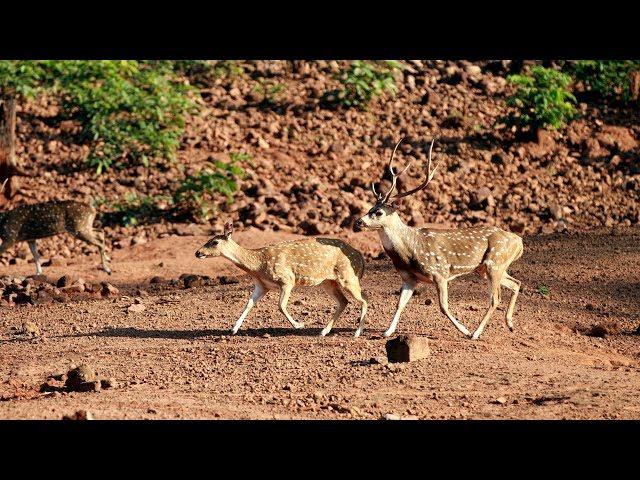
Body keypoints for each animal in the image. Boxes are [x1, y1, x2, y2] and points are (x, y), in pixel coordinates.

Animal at [195, 222, 368, 338]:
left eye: (215, 242)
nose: (197, 252)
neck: (258, 266)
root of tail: (360, 256)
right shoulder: (262, 286)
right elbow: (248, 304)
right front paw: (233, 329)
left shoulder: (287, 279)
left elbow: (280, 306)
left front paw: (299, 325)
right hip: (328, 282)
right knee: (344, 301)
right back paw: (324, 331)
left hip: (348, 276)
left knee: (364, 298)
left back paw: (357, 332)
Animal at [356, 139, 524, 342]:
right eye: (370, 208)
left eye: (379, 212)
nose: (358, 221)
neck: (409, 252)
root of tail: (519, 241)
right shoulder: (410, 278)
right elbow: (399, 304)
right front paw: (387, 331)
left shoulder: (440, 273)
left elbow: (443, 307)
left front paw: (464, 330)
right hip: (486, 268)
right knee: (516, 283)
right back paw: (510, 324)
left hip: (495, 262)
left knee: (495, 298)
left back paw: (475, 333)